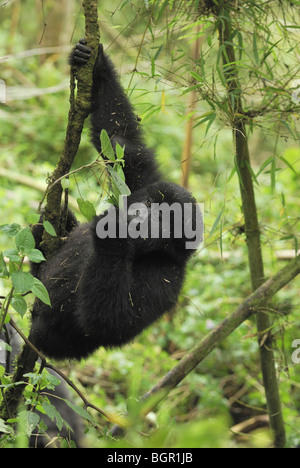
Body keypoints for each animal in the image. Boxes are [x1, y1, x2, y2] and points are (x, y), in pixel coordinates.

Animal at [29, 41, 200, 362]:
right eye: (150, 207)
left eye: (163, 221)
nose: (140, 219)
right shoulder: (144, 183)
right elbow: (121, 139)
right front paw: (96, 64)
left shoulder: (167, 277)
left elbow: (110, 322)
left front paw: (113, 235)